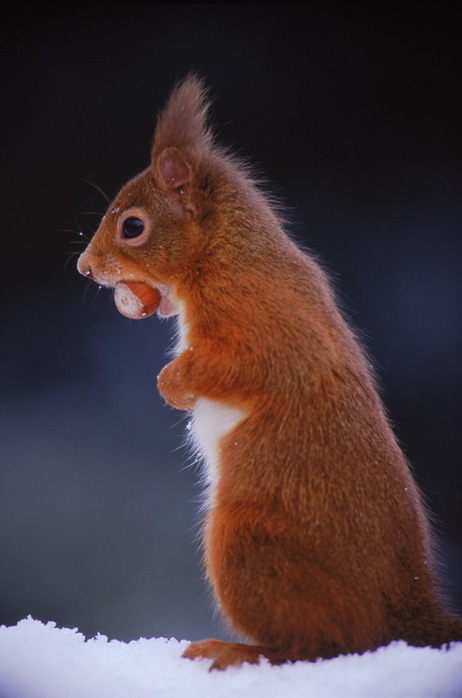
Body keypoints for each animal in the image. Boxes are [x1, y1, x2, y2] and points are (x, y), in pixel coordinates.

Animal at [77, 73, 460, 668]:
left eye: (133, 227)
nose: (85, 268)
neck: (224, 253)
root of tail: (400, 616)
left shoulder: (259, 319)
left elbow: (255, 367)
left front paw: (173, 385)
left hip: (248, 546)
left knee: (322, 643)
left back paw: (233, 651)